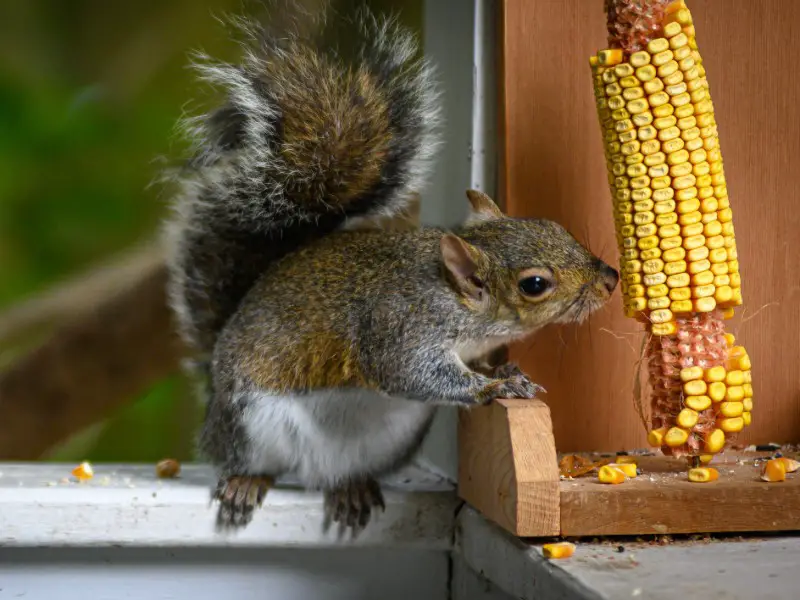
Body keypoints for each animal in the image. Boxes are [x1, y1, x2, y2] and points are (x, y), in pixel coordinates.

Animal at [164, 4, 620, 536]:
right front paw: (495, 385)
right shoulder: (399, 327)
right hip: (247, 422)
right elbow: (411, 372)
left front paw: (503, 368)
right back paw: (244, 482)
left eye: (554, 225)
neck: (462, 308)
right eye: (535, 284)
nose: (610, 279)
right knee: (253, 461)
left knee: (339, 474)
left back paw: (350, 488)